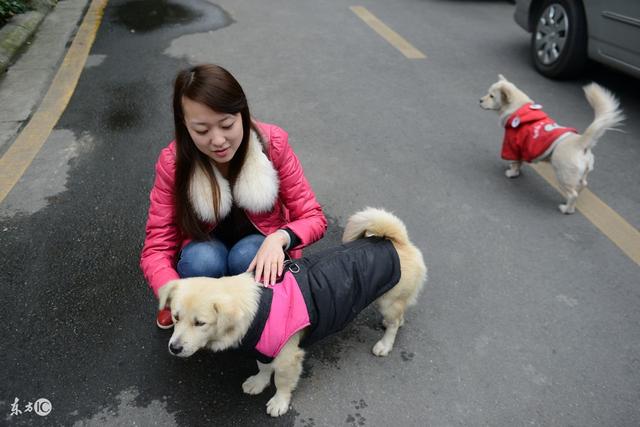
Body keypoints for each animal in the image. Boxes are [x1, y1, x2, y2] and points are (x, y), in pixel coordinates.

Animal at [156, 209, 424, 420]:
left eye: (200, 323)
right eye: (176, 317)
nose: (174, 348)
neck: (257, 306)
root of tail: (395, 241)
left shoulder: (287, 357)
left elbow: (282, 382)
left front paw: (279, 402)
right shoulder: (265, 347)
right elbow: (264, 368)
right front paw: (259, 382)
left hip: (389, 301)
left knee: (394, 322)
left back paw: (385, 344)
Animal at [478, 75, 624, 214]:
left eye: (491, 96)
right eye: (487, 93)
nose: (480, 100)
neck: (519, 108)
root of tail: (580, 142)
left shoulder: (512, 145)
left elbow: (515, 162)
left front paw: (512, 173)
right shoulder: (522, 148)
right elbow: (519, 162)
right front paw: (516, 169)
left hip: (563, 176)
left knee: (573, 195)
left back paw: (566, 209)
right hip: (580, 176)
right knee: (582, 186)